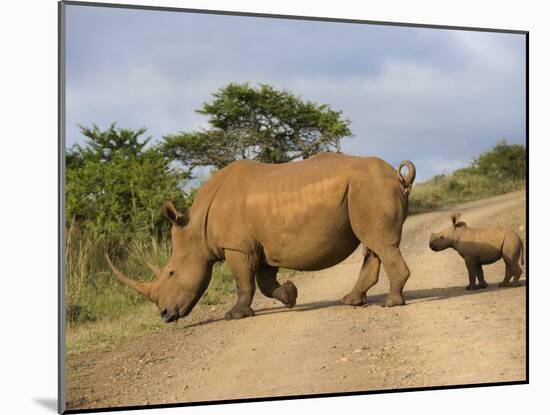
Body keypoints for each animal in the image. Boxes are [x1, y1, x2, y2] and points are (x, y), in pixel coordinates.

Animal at [106, 154, 418, 324]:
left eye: (171, 273)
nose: (165, 315)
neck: (195, 229)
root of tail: (398, 176)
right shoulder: (263, 246)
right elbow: (266, 283)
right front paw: (291, 295)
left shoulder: (237, 247)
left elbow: (243, 283)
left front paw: (234, 315)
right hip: (366, 190)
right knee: (373, 244)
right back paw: (352, 301)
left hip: (370, 187)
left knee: (380, 244)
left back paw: (390, 303)